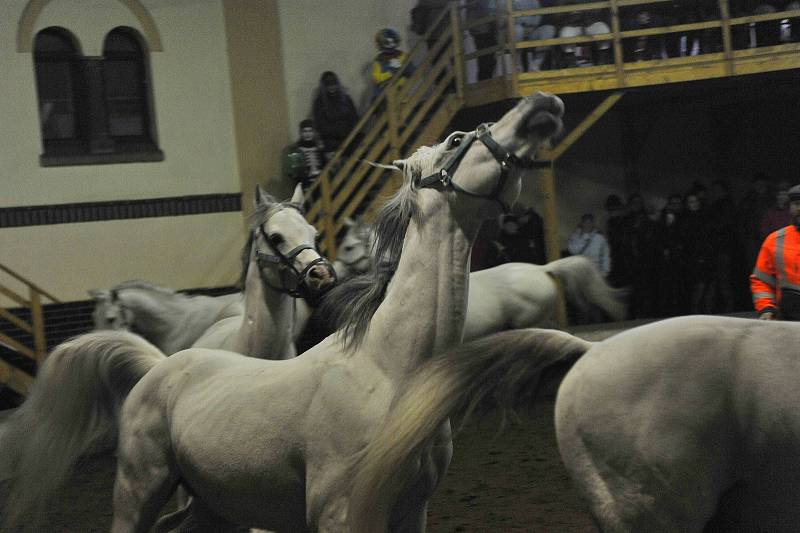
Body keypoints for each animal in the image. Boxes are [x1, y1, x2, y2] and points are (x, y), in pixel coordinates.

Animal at [0, 92, 564, 532]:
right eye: (455, 139)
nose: (543, 105)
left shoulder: (411, 512)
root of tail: (157, 367)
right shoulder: (338, 514)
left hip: (214, 506)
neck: (390, 371)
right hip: (139, 491)